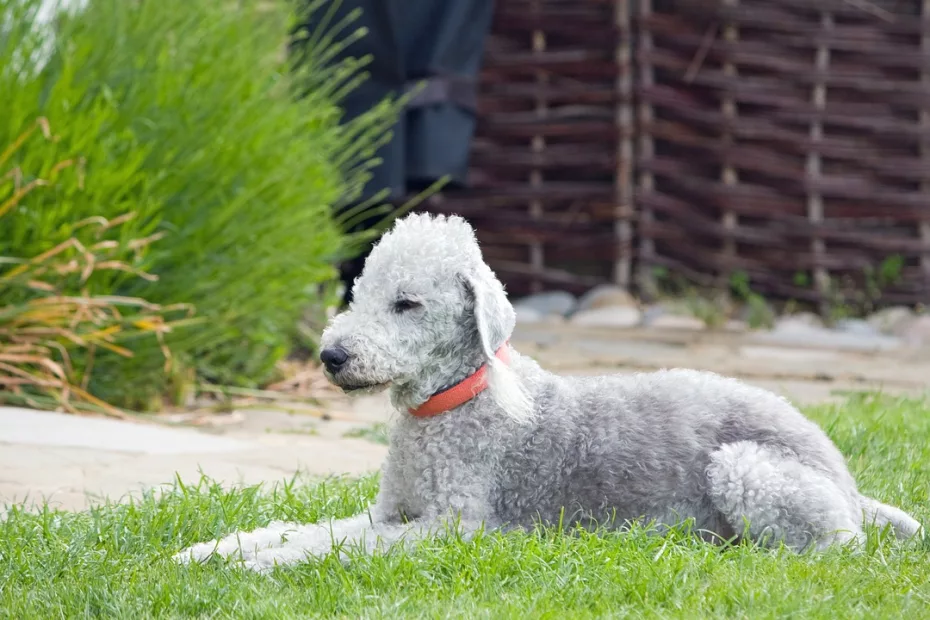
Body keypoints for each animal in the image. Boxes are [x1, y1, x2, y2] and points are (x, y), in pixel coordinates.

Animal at [178, 212, 916, 572]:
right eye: (357, 293)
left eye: (407, 303)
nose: (331, 357)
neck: (452, 401)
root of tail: (845, 477)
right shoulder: (391, 513)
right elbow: (310, 529)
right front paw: (210, 551)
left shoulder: (454, 528)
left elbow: (332, 546)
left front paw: (261, 566)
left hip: (747, 468)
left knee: (836, 549)